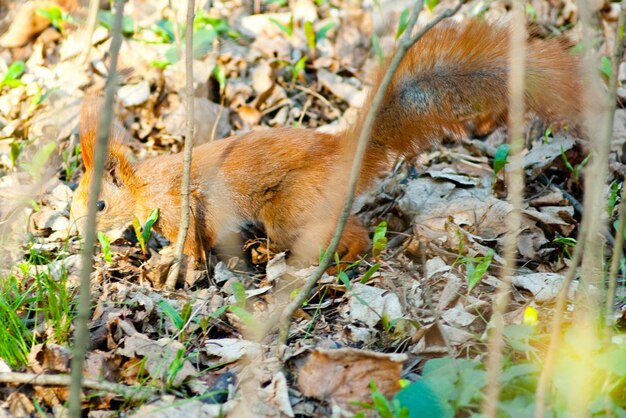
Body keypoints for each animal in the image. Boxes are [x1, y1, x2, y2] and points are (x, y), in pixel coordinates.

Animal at [69, 18, 580, 264]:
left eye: (99, 205)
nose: (73, 232)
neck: (141, 187)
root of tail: (346, 153)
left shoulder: (178, 205)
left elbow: (190, 241)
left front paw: (174, 268)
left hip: (291, 208)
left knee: (353, 234)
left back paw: (336, 262)